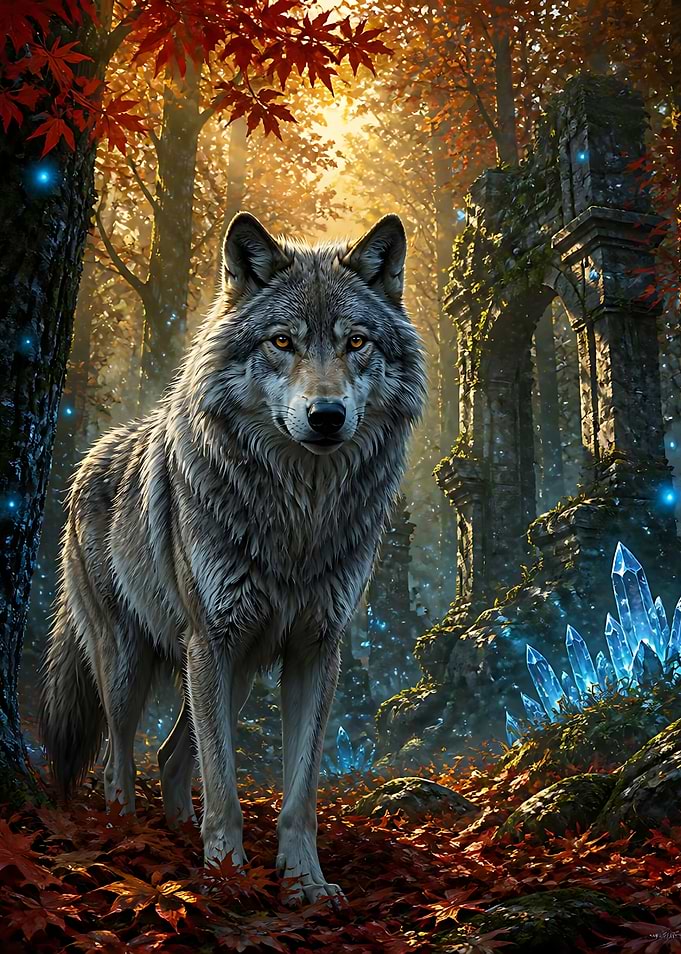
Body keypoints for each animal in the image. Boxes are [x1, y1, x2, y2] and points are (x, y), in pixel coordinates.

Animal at [40, 211, 426, 903]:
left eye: (356, 343)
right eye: (282, 341)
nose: (326, 416)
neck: (299, 518)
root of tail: (91, 458)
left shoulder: (315, 649)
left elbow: (299, 794)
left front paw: (304, 883)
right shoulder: (211, 639)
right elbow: (223, 786)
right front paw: (226, 877)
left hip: (237, 669)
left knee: (169, 757)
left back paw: (175, 836)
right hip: (132, 664)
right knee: (117, 758)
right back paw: (126, 835)